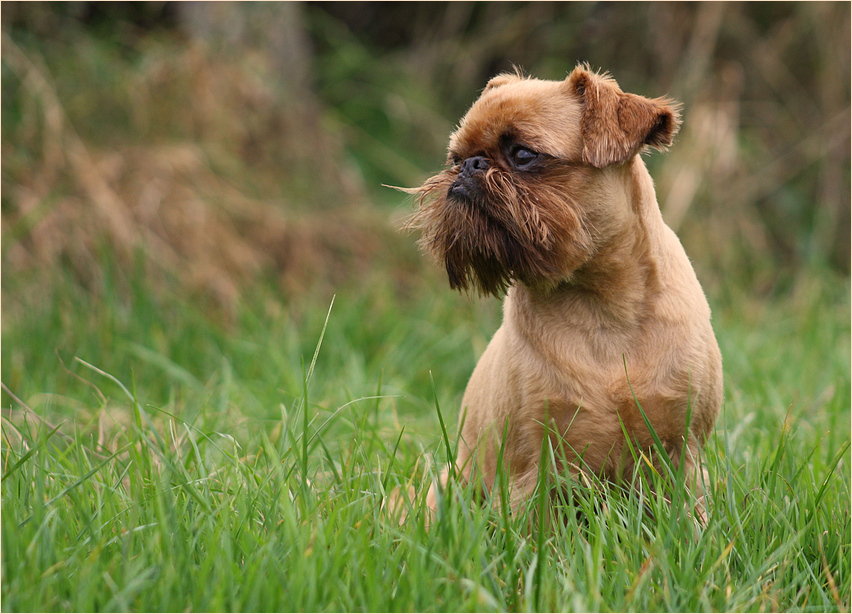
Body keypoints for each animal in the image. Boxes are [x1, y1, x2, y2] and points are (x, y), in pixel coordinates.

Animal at [402, 66, 724, 520]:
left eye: (523, 155)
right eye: (454, 158)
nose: (470, 167)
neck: (603, 307)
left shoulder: (682, 457)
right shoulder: (537, 468)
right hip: (449, 488)